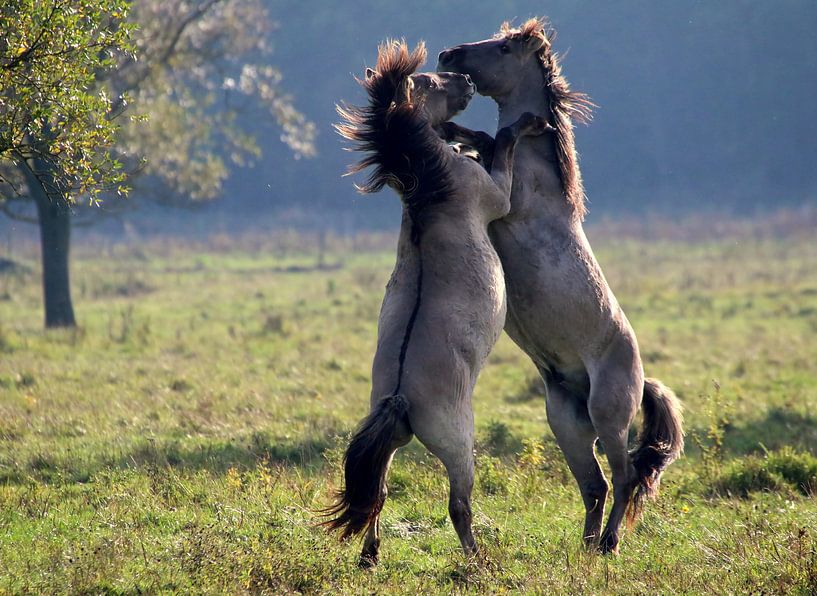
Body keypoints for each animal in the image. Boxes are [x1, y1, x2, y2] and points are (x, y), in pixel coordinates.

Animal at [320, 40, 548, 564]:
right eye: (427, 81)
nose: (462, 78)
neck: (431, 187)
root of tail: (399, 397)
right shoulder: (497, 194)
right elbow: (504, 144)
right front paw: (522, 125)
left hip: (392, 449)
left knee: (378, 497)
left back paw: (370, 556)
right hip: (459, 446)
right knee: (458, 505)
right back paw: (477, 562)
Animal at [436, 18, 684, 556]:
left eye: (503, 48)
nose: (447, 55)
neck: (541, 174)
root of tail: (641, 378)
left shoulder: (507, 198)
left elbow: (492, 142)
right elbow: (482, 140)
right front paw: (450, 130)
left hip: (608, 417)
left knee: (625, 476)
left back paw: (609, 544)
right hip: (566, 423)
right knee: (596, 484)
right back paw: (587, 546)